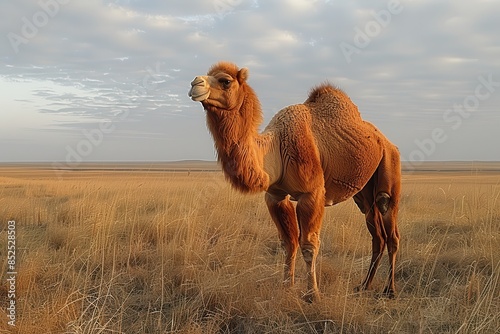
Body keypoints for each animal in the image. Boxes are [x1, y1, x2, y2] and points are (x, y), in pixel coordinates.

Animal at [188, 61, 402, 302]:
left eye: (225, 81)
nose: (195, 83)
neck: (276, 146)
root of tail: (386, 141)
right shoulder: (275, 196)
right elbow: (288, 243)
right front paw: (286, 288)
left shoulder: (312, 194)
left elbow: (308, 244)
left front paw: (313, 294)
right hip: (363, 192)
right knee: (377, 234)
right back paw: (364, 285)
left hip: (390, 164)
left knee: (390, 225)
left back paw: (390, 290)